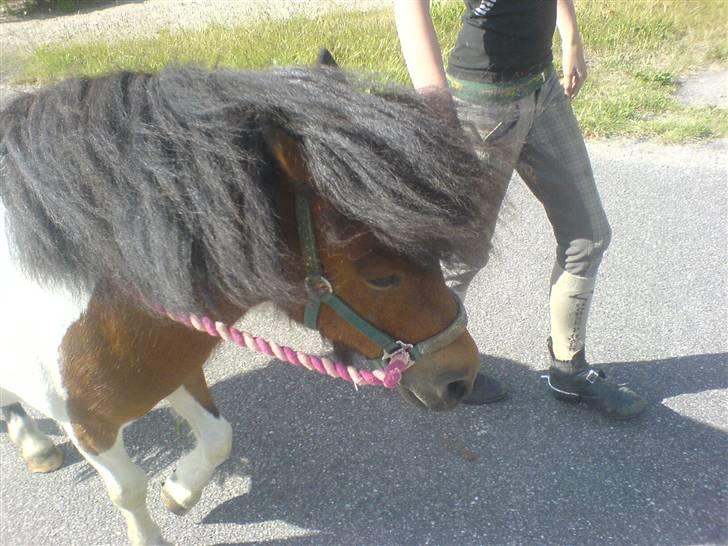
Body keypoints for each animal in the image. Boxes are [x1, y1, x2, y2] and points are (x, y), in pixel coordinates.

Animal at [0, 59, 498, 545]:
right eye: (381, 276)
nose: (461, 378)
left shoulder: (175, 368)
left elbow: (218, 437)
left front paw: (179, 491)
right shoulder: (89, 427)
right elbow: (128, 489)